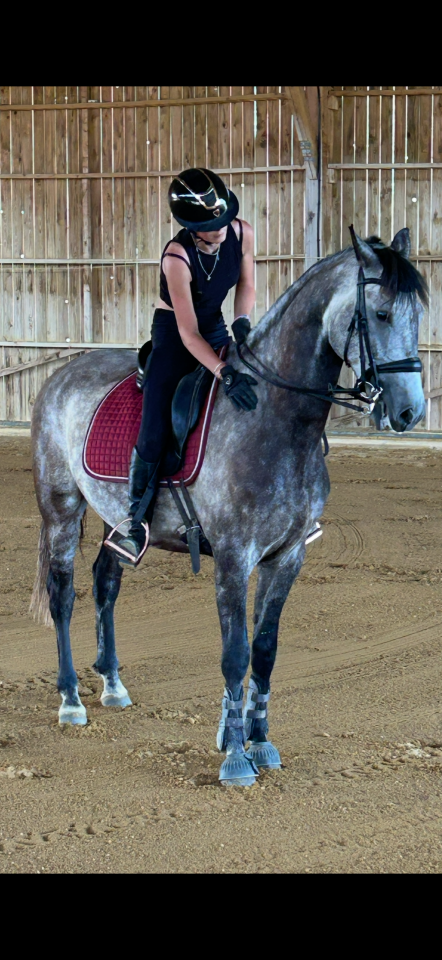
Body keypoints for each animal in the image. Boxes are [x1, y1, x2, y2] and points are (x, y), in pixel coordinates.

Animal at [30, 228, 427, 787]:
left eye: (417, 315)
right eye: (382, 314)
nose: (410, 412)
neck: (276, 419)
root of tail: (64, 373)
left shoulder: (287, 557)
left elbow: (264, 651)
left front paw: (259, 741)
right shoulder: (235, 557)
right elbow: (235, 654)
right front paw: (236, 756)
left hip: (117, 521)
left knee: (106, 582)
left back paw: (112, 684)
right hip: (61, 509)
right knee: (63, 595)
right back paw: (70, 699)